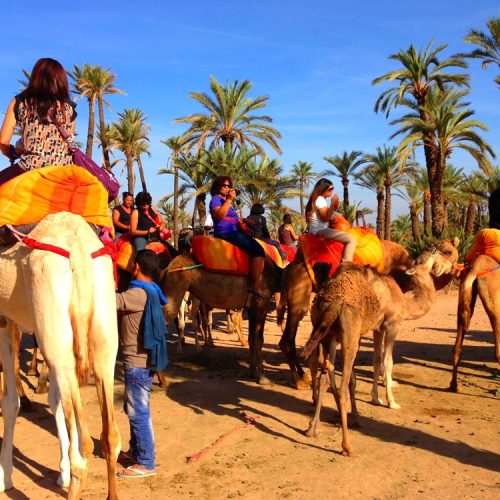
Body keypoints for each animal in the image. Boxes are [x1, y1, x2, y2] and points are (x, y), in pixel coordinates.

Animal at [0, 212, 120, 500]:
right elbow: (52, 399)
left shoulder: (4, 320)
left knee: (84, 450)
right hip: (101, 334)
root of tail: (78, 248)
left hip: (53, 322)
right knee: (110, 437)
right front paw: (61, 473)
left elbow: (10, 402)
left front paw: (4, 477)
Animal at [159, 252, 280, 384]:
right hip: (176, 291)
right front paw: (263, 377)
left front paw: (252, 372)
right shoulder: (261, 304)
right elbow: (259, 339)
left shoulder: (252, 308)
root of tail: (167, 269)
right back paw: (162, 379)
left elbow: (252, 338)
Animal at [278, 237, 414, 386]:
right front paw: (385, 379)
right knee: (287, 339)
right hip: (299, 298)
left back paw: (303, 375)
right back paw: (300, 381)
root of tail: (287, 270)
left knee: (288, 340)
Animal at [302, 238, 458, 458]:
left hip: (326, 332)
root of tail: (333, 302)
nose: (433, 248)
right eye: (422, 259)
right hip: (349, 336)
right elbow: (387, 361)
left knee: (324, 374)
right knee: (340, 385)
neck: (404, 301)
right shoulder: (392, 324)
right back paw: (347, 446)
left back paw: (312, 429)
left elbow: (377, 360)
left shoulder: (377, 328)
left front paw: (376, 399)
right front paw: (392, 402)